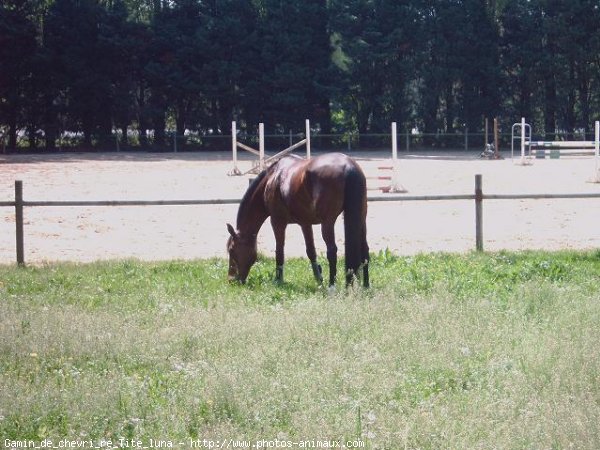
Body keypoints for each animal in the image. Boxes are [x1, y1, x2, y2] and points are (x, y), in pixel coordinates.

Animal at [226, 153, 370, 286]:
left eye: (231, 250)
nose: (231, 279)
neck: (272, 178)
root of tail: (349, 167)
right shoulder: (305, 223)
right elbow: (311, 251)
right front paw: (318, 279)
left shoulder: (277, 222)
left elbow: (279, 251)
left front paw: (278, 280)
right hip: (361, 219)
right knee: (365, 249)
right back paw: (366, 285)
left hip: (327, 223)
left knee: (332, 251)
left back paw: (332, 286)